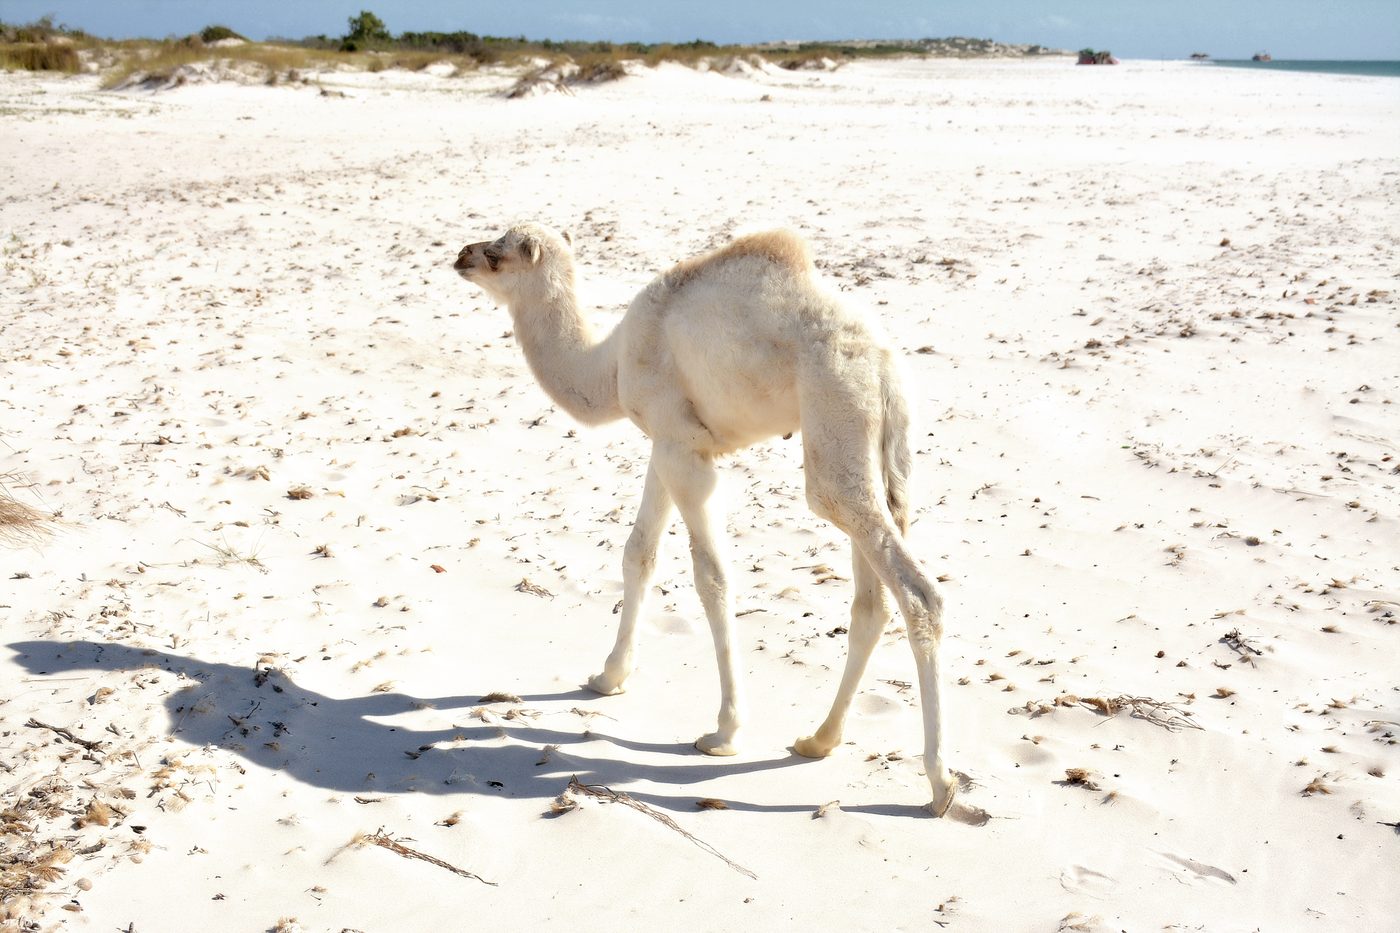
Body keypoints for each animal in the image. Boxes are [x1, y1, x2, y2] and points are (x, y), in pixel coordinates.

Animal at [453, 223, 955, 816]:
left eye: (497, 254)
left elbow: (710, 578)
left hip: (837, 423)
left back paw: (939, 784)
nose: (460, 255)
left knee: (915, 591)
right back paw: (818, 739)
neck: (611, 364)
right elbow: (639, 552)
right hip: (875, 458)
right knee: (872, 602)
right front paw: (608, 677)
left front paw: (724, 732)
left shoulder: (684, 447)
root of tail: (884, 366)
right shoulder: (665, 443)